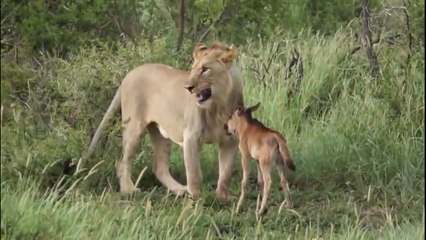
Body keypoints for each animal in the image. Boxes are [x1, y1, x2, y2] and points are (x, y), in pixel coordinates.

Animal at [84, 41, 243, 201]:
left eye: (205, 69)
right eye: (193, 69)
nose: (188, 87)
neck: (219, 106)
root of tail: (129, 74)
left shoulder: (230, 140)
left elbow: (226, 173)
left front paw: (223, 198)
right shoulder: (191, 137)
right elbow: (195, 174)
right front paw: (196, 198)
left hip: (161, 133)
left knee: (159, 167)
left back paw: (179, 190)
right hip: (133, 127)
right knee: (122, 162)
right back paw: (129, 190)